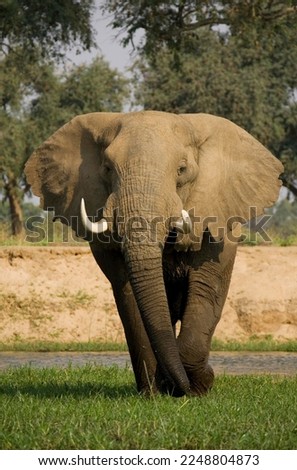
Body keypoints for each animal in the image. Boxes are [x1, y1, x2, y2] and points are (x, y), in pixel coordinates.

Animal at [24, 110, 280, 396]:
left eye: (182, 170)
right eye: (107, 169)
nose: (183, 388)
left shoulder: (218, 217)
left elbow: (206, 288)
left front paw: (198, 386)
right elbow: (130, 296)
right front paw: (158, 393)